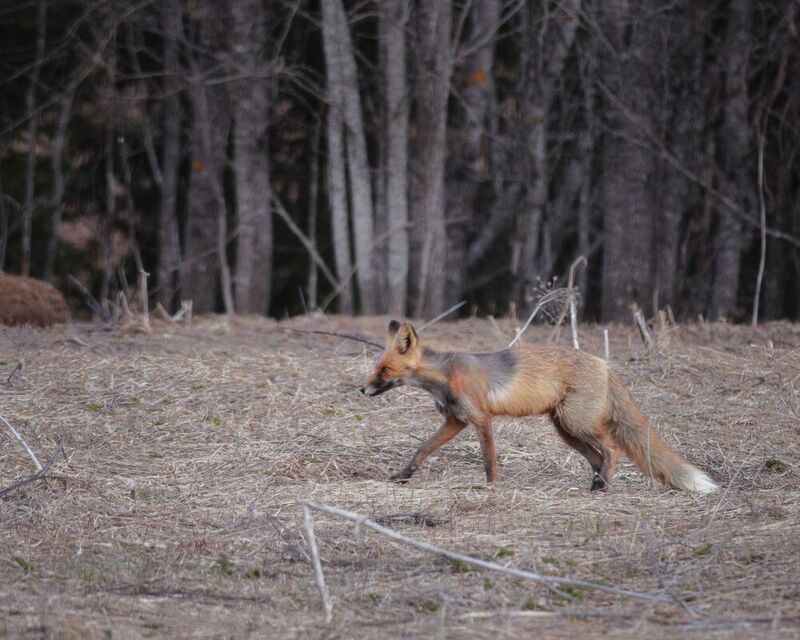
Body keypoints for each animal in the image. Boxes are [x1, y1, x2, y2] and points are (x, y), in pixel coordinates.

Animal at [360, 320, 717, 493]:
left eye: (385, 370)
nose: (362, 389)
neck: (446, 375)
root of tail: (604, 364)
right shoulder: (456, 420)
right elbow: (422, 449)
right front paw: (403, 475)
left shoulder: (480, 418)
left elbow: (489, 459)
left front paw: (491, 488)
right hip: (566, 431)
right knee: (598, 458)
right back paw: (596, 486)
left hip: (576, 423)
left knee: (613, 450)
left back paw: (601, 488)